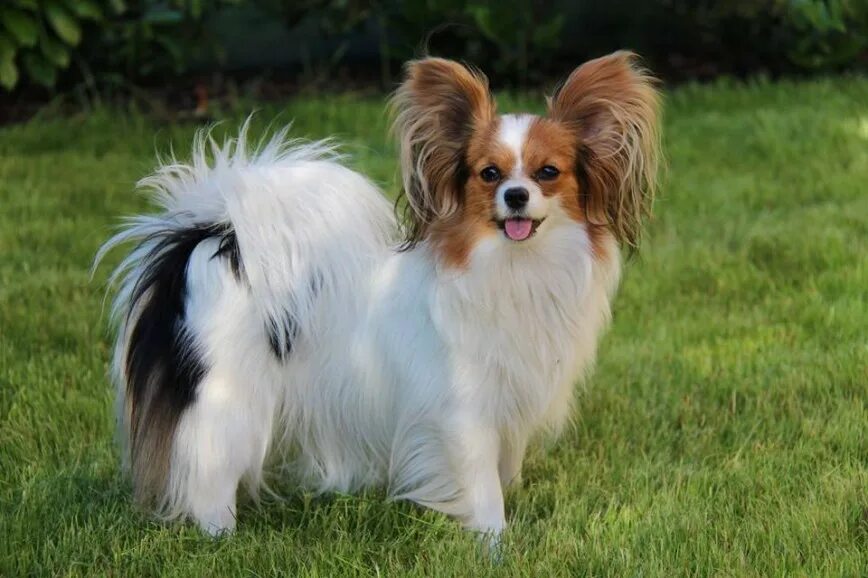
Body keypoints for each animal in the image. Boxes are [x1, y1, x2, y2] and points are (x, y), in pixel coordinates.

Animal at [98, 51, 660, 532]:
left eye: (548, 173)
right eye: (489, 174)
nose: (516, 196)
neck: (514, 266)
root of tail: (211, 238)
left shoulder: (509, 399)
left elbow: (503, 467)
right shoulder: (462, 410)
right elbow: (482, 485)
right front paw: (495, 542)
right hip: (226, 400)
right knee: (208, 475)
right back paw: (221, 536)